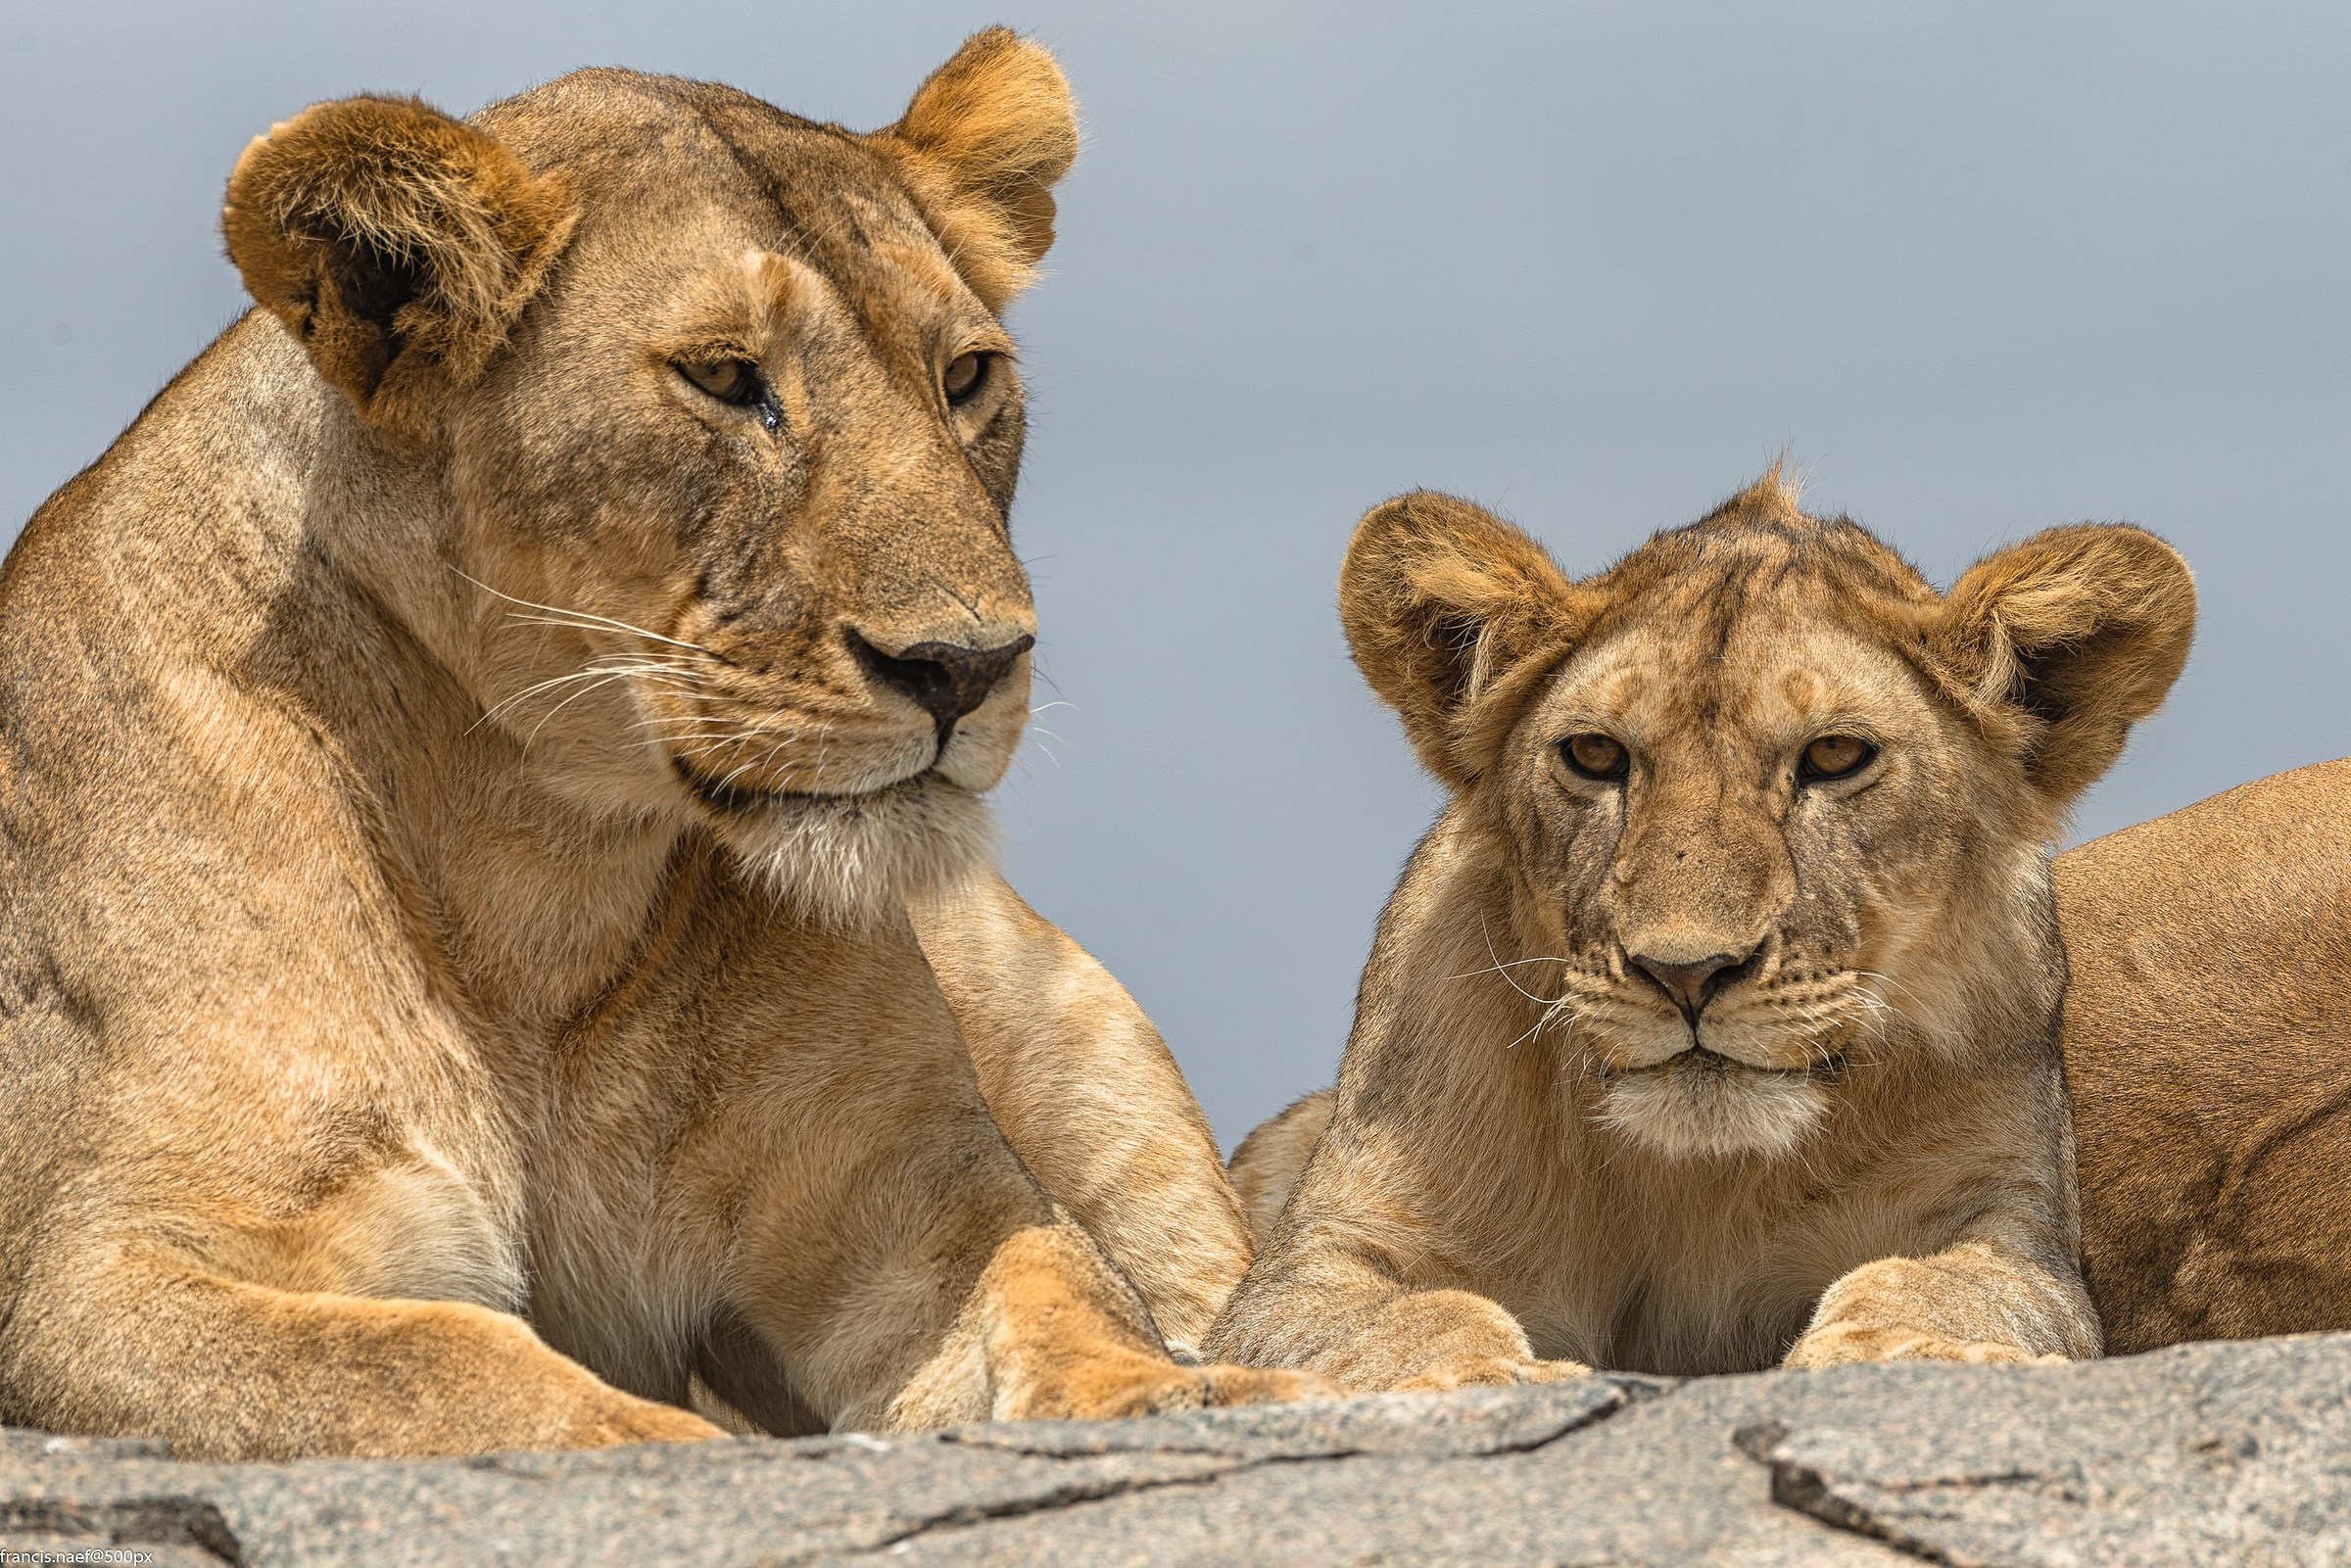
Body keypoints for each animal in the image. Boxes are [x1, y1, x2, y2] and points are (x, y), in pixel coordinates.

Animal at [0, 32, 1309, 1461]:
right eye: (728, 380)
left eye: (966, 378)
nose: (966, 667)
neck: (543, 876)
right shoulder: (97, 1280)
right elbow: (442, 1365)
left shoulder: (911, 1200)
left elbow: (1054, 1275)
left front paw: (1177, 1392)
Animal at [1205, 475, 2196, 1387]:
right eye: (1594, 754)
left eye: (1835, 755)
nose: (1686, 973)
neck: (1691, 1181)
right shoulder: (1317, 1257)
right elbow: (1411, 1316)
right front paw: (1483, 1376)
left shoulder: (2008, 1224)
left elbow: (1934, 1283)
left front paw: (1898, 1352)